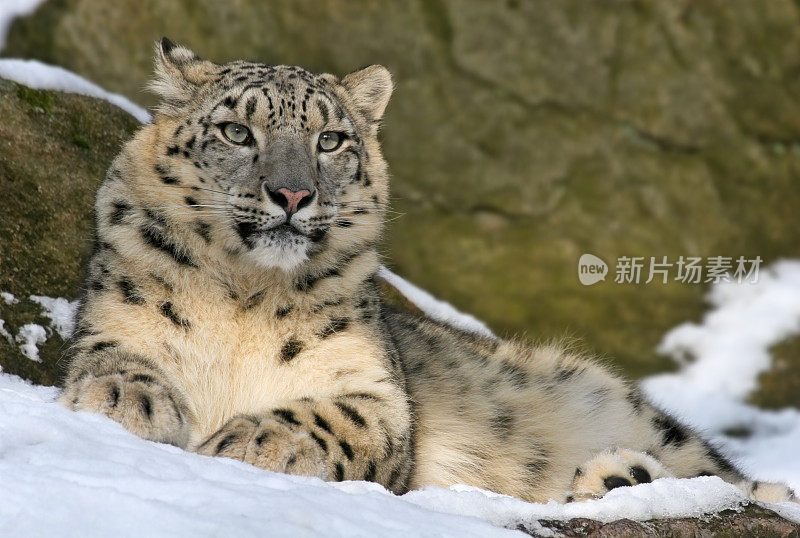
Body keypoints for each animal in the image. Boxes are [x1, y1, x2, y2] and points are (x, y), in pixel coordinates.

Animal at [61, 39, 792, 504]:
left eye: (331, 140)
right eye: (238, 132)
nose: (294, 194)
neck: (244, 297)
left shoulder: (373, 392)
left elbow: (333, 420)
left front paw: (250, 436)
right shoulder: (114, 323)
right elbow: (112, 359)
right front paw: (130, 400)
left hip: (629, 410)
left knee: (741, 483)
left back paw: (617, 475)